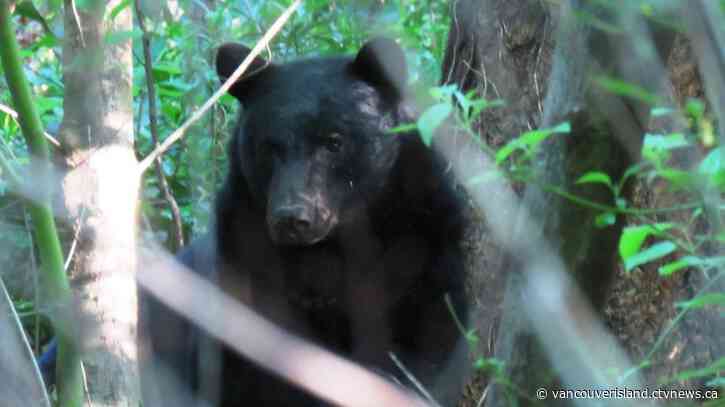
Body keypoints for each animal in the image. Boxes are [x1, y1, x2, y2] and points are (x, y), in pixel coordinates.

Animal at [139, 37, 468, 407]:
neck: (334, 244)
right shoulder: (243, 262)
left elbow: (433, 335)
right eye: (270, 146)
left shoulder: (423, 237)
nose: (292, 217)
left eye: (334, 142)